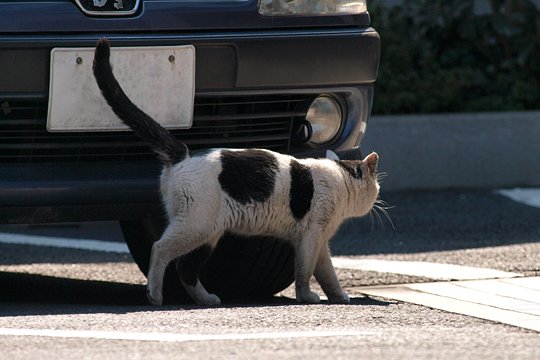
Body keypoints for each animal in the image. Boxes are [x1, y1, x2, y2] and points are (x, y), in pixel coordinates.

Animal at [93, 37, 380, 306]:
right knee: (160, 249)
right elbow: (305, 272)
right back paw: (154, 295)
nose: (378, 202)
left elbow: (327, 273)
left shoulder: (320, 241)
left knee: (186, 269)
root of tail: (183, 153)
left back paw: (206, 299)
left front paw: (339, 296)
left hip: (208, 233)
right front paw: (307, 297)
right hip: (196, 226)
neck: (341, 179)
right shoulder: (310, 237)